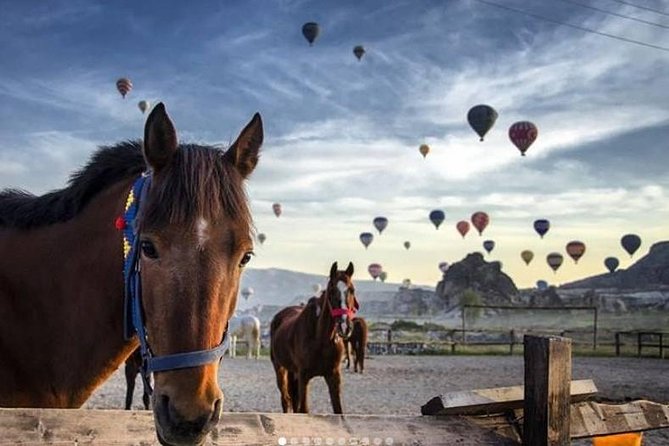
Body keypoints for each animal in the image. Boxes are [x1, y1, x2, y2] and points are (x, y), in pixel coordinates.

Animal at [268, 262, 358, 414]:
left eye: (352, 289)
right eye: (332, 291)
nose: (345, 326)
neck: (320, 339)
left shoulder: (333, 376)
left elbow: (338, 410)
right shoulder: (304, 377)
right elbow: (303, 409)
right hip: (280, 368)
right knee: (285, 400)